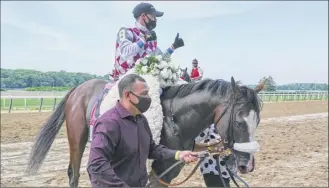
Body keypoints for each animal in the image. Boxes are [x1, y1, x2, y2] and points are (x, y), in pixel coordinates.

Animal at [27, 76, 264, 188]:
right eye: (239, 122)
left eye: (257, 121)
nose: (248, 165)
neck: (174, 118)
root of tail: (78, 88)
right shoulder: (159, 170)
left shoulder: (169, 170)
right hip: (77, 138)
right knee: (74, 174)